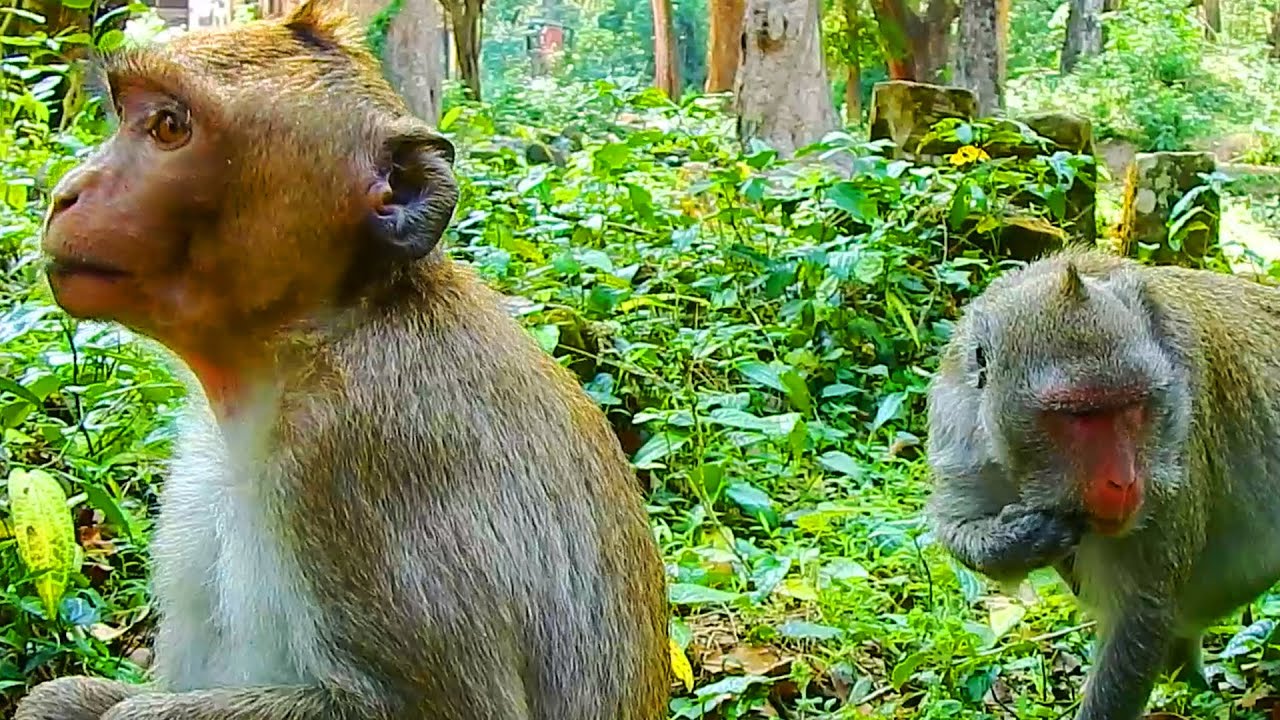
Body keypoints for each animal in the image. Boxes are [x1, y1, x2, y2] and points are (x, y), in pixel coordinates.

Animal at [14, 1, 670, 718]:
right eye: (129, 115)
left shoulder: (363, 451)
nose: (66, 192)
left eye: (168, 126)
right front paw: (71, 696)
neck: (308, 345)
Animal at [925, 246, 1280, 720]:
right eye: (1079, 415)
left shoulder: (1177, 446)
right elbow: (954, 527)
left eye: (1133, 405)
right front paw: (1020, 539)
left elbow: (1141, 616)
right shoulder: (959, 422)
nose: (1123, 481)